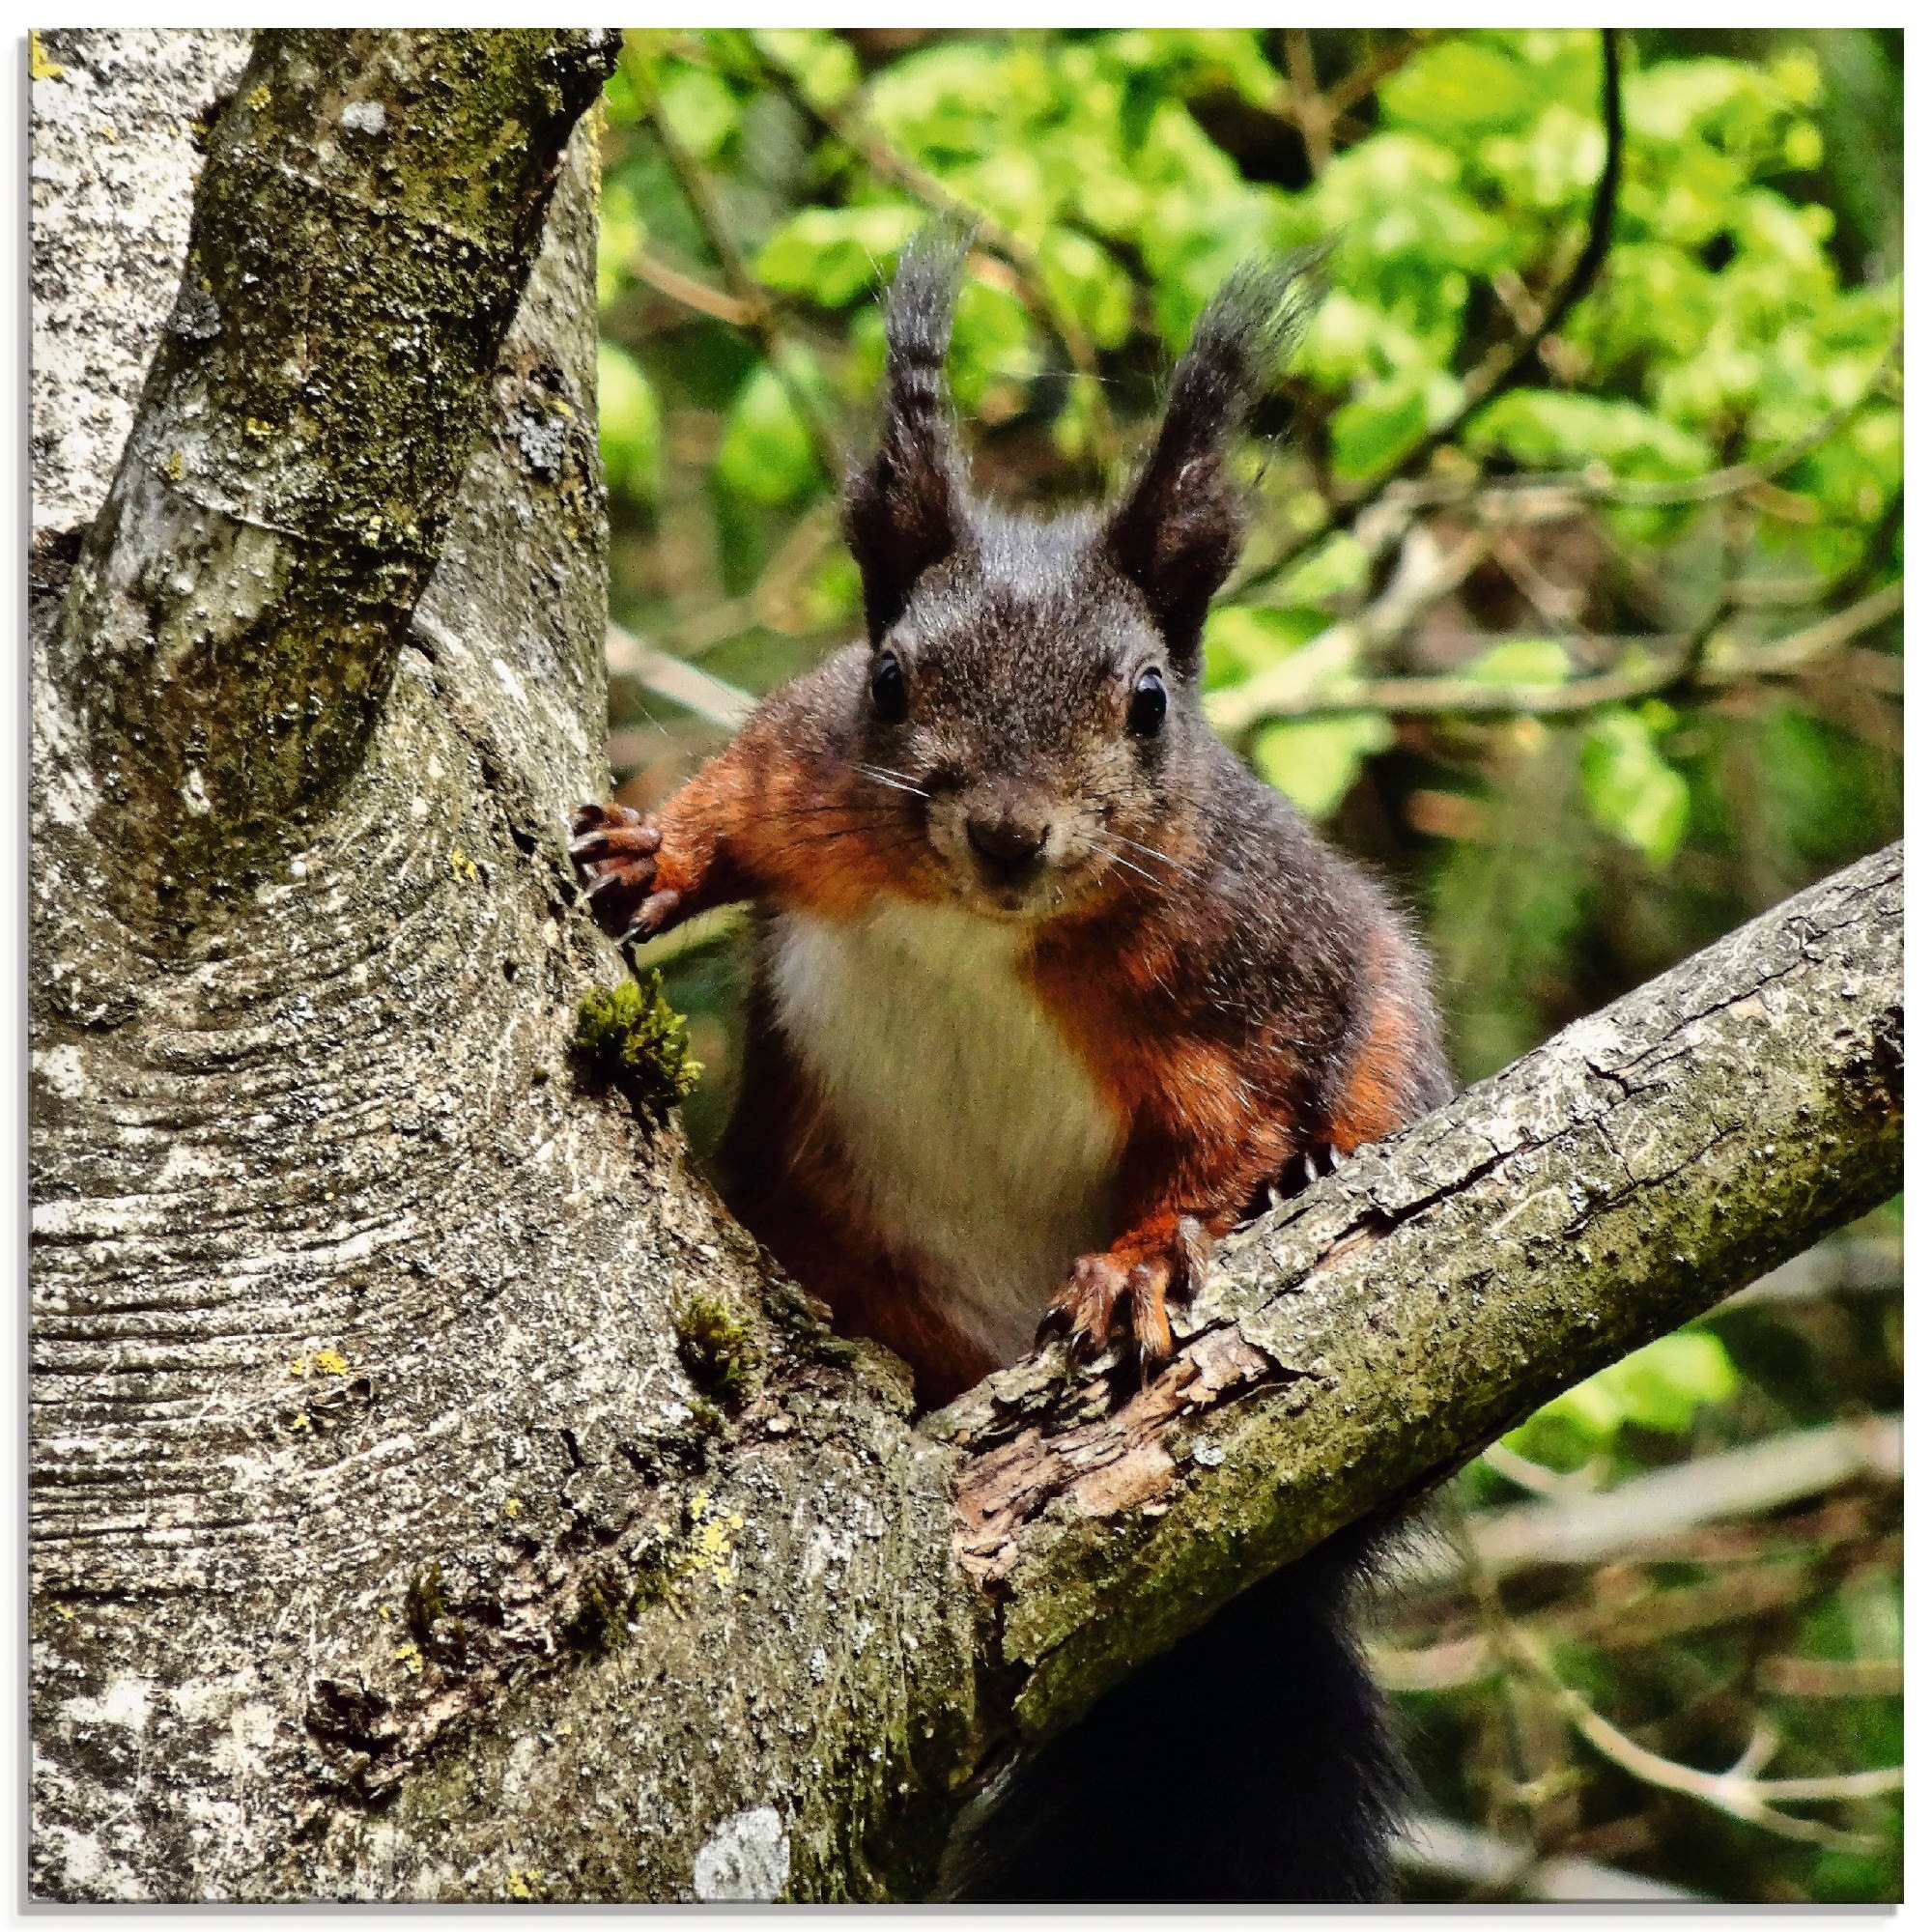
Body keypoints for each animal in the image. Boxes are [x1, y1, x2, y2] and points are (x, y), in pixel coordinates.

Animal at [572, 231, 1453, 1902]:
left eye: (1148, 702)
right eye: (892, 678)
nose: (1006, 834)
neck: (980, 926)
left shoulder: (1254, 973)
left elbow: (1233, 1131)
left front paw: (1147, 1259)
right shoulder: (808, 770)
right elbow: (742, 796)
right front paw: (656, 849)